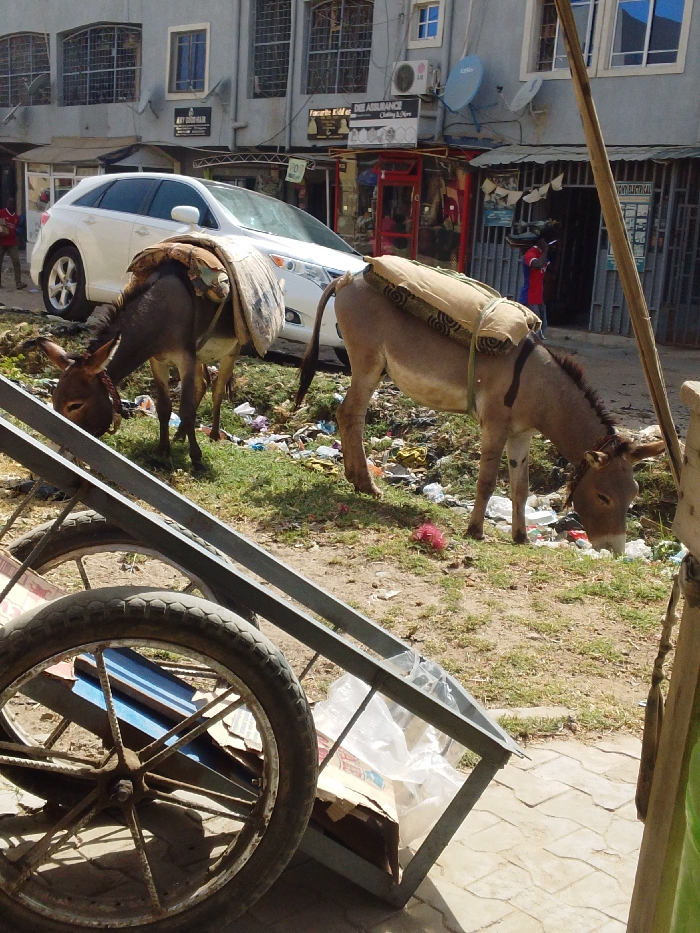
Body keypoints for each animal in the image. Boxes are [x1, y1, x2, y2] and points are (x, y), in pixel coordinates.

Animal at [37, 261, 241, 469]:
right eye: (54, 401)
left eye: (75, 405)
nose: (55, 449)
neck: (160, 311)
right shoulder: (158, 361)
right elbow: (164, 407)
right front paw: (163, 449)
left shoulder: (185, 359)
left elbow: (186, 410)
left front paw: (196, 457)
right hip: (200, 357)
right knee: (203, 383)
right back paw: (180, 435)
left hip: (232, 350)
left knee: (217, 389)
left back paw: (214, 435)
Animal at [296, 277, 665, 554]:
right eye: (603, 496)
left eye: (633, 495)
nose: (615, 551)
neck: (539, 384)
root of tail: (348, 278)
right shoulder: (496, 426)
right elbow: (487, 481)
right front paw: (475, 530)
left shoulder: (521, 434)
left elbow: (521, 488)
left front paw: (521, 537)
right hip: (367, 363)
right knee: (350, 414)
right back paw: (365, 484)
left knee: (350, 414)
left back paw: (357, 480)